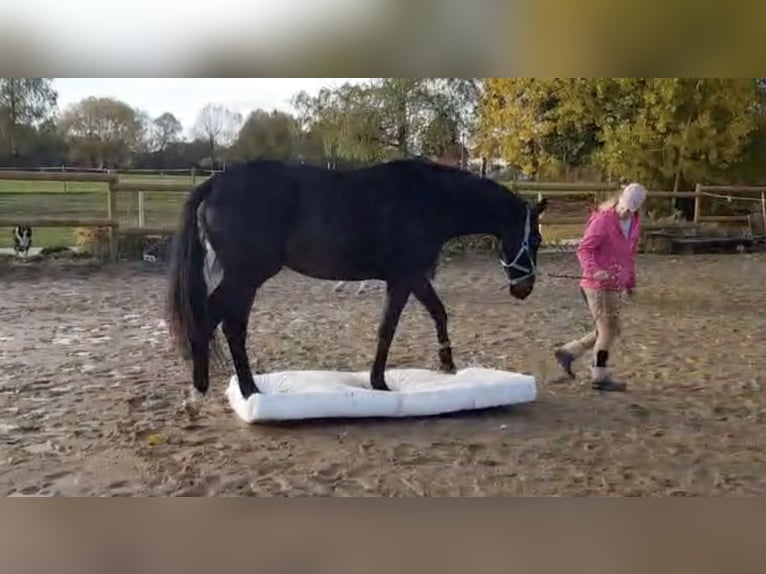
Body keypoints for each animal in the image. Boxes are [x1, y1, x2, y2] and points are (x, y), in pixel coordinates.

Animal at [169, 158, 552, 400]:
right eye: (535, 239)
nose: (525, 288)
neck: (432, 199)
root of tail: (216, 183)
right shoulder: (405, 277)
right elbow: (391, 327)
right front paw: (381, 382)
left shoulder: (408, 277)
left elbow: (433, 313)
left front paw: (445, 364)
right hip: (245, 275)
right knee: (210, 319)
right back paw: (202, 389)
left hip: (245, 279)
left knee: (232, 326)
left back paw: (248, 389)